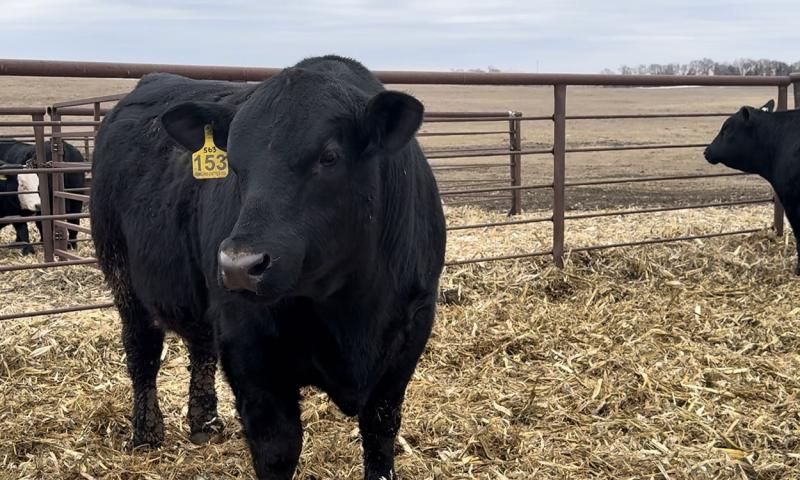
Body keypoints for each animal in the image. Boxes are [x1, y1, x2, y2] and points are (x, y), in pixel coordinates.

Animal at [90, 55, 447, 479]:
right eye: (233, 163)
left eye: (329, 156)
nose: (238, 265)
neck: (350, 306)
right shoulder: (250, 352)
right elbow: (277, 449)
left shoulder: (407, 340)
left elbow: (380, 436)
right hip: (122, 275)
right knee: (142, 349)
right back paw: (146, 433)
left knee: (200, 347)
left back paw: (204, 423)